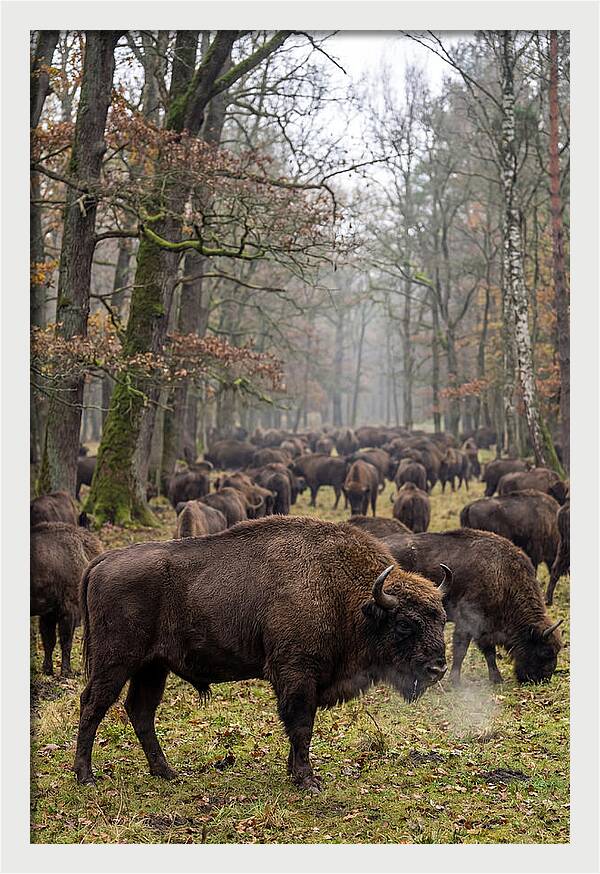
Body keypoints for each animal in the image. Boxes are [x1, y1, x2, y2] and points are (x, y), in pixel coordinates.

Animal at [73, 516, 448, 791]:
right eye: (405, 624)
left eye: (442, 618)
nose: (437, 669)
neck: (348, 596)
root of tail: (102, 561)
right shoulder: (296, 673)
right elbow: (301, 725)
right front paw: (308, 780)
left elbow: (300, 728)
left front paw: (295, 773)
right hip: (115, 662)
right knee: (93, 704)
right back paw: (86, 777)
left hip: (152, 667)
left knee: (141, 711)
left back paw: (166, 772)